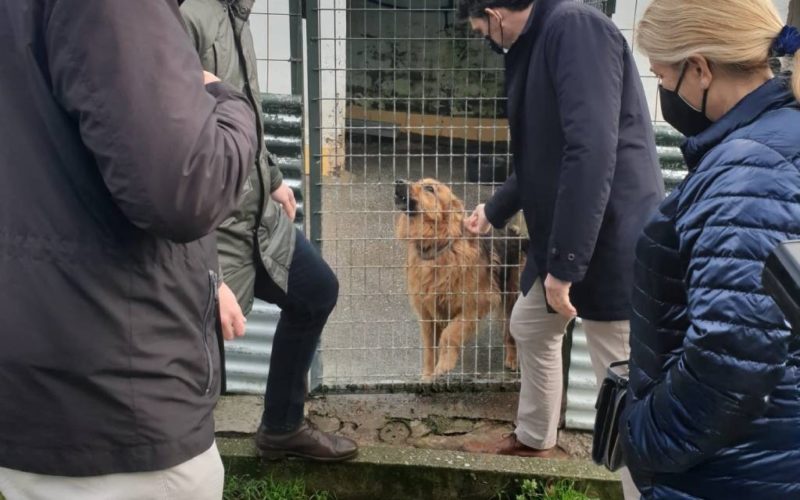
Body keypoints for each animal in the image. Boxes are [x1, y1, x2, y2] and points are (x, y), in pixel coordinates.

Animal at [394, 180, 524, 378]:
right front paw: (428, 376)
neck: (437, 247)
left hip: (513, 296)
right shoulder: (427, 313)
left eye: (429, 189)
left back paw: (513, 358)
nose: (398, 181)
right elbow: (429, 349)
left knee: (511, 332)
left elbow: (449, 334)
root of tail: (515, 231)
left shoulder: (477, 304)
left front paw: (445, 364)